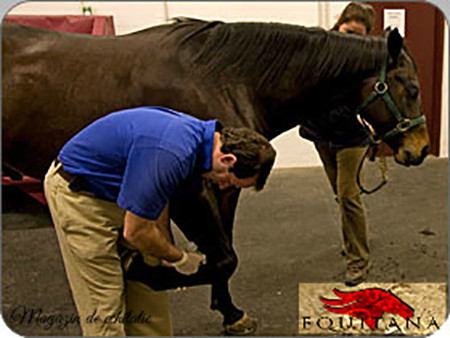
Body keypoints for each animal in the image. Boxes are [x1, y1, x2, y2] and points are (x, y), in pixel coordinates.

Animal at [2, 19, 428, 334]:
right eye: (412, 88)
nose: (421, 149)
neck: (222, 77)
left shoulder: (224, 188)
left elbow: (226, 250)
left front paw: (229, 311)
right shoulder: (187, 191)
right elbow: (222, 257)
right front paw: (149, 272)